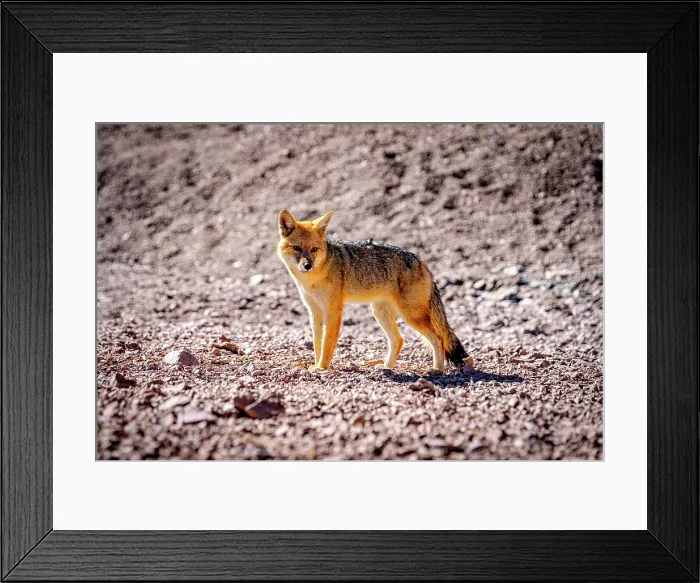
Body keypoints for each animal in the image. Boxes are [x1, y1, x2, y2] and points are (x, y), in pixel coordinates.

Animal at [277, 209, 470, 373]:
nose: (307, 266)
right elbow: (317, 343)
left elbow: (327, 343)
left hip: (411, 315)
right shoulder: (315, 311)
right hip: (381, 313)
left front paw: (322, 367)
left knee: (438, 339)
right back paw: (387, 367)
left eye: (314, 249)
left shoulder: (333, 310)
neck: (311, 279)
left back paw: (438, 370)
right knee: (399, 339)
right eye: (297, 248)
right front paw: (316, 364)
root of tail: (421, 261)